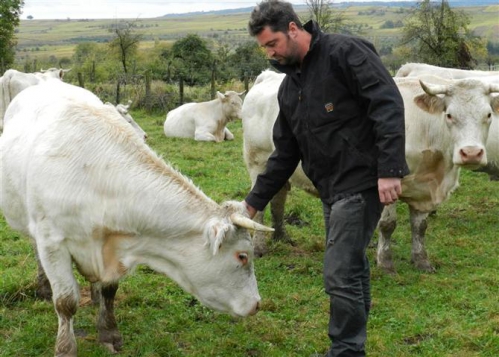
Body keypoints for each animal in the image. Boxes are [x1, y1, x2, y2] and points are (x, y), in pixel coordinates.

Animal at [0, 79, 274, 354]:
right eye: (242, 256)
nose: (257, 304)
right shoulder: (52, 242)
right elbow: (66, 302)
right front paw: (65, 348)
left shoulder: (115, 246)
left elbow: (110, 290)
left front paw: (109, 331)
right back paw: (44, 286)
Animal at [378, 76, 499, 272]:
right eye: (449, 115)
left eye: (488, 115)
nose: (471, 153)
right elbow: (387, 224)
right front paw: (385, 262)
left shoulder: (424, 188)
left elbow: (420, 226)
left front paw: (421, 260)